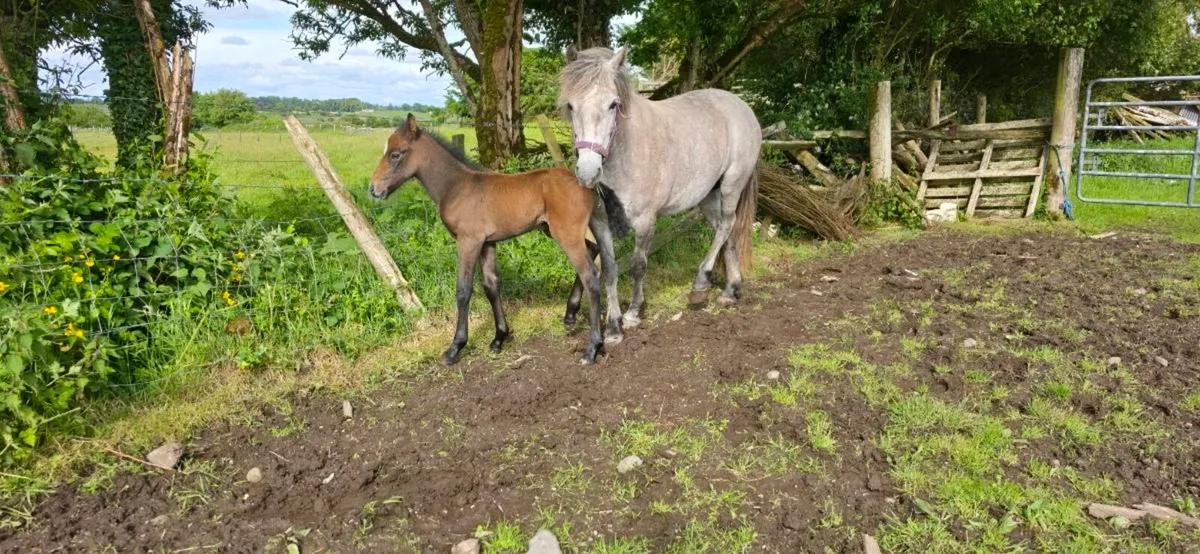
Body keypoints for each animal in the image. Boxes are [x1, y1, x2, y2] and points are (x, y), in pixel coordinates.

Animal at [368, 114, 605, 365]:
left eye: (395, 154)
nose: (373, 189)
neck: (456, 186)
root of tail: (587, 185)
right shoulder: (487, 243)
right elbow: (491, 286)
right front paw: (499, 339)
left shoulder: (468, 241)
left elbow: (463, 290)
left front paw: (455, 348)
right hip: (553, 230)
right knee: (593, 249)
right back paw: (570, 315)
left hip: (565, 234)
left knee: (590, 276)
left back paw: (593, 347)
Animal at [558, 45, 761, 345]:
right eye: (571, 106)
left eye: (613, 104)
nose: (588, 171)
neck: (627, 152)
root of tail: (742, 107)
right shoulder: (600, 223)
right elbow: (609, 269)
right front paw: (613, 327)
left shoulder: (646, 220)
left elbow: (638, 265)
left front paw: (633, 313)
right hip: (708, 195)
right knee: (728, 232)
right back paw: (730, 290)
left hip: (732, 185)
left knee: (726, 225)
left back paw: (700, 285)